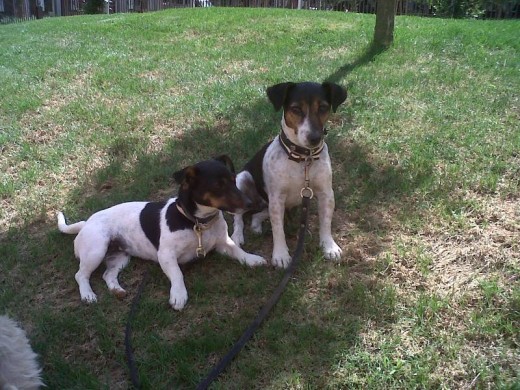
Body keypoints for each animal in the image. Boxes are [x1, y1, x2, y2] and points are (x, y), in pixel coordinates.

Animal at [59, 155, 266, 310]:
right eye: (217, 186)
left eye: (233, 180)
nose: (251, 204)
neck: (197, 223)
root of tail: (86, 223)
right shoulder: (166, 256)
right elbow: (177, 274)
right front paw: (179, 294)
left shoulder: (223, 243)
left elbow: (238, 251)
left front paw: (252, 259)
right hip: (96, 250)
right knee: (80, 275)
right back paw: (88, 295)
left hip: (120, 256)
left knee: (108, 275)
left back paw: (117, 290)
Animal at [233, 82, 348, 268]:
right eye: (296, 109)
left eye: (323, 107)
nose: (315, 138)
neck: (303, 159)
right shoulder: (277, 198)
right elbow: (278, 229)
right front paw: (281, 255)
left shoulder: (326, 193)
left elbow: (326, 222)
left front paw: (329, 246)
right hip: (242, 180)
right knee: (238, 216)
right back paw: (237, 235)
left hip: (268, 203)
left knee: (259, 214)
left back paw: (256, 225)